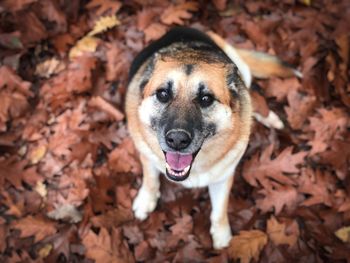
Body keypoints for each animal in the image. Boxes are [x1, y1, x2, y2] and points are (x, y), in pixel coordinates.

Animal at [124, 26, 296, 250]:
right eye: (162, 94)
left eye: (206, 99)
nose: (177, 140)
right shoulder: (147, 156)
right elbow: (150, 179)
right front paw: (146, 200)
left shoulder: (223, 178)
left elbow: (219, 212)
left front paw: (222, 236)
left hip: (243, 71)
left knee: (253, 95)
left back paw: (269, 117)